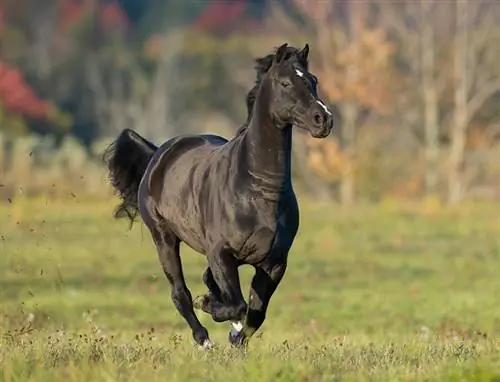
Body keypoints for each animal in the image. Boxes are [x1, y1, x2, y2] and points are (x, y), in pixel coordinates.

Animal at [103, 42, 334, 350]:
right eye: (285, 82)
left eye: (313, 80)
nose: (324, 119)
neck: (258, 192)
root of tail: (158, 154)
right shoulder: (221, 253)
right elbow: (238, 306)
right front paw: (211, 308)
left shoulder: (274, 264)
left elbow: (255, 313)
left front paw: (236, 337)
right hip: (164, 238)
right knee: (180, 293)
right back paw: (203, 339)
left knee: (209, 282)